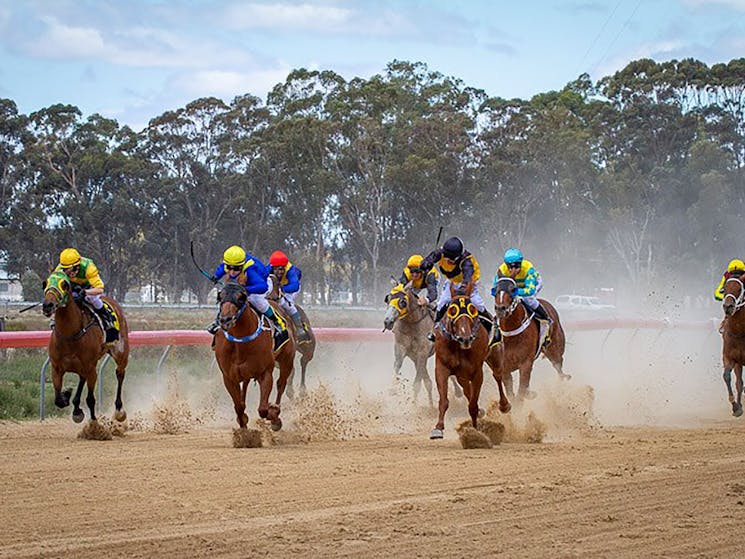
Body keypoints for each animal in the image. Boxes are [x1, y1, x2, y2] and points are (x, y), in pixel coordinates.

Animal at [41, 272, 129, 424]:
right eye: (45, 283)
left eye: (64, 285)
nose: (48, 305)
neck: (70, 335)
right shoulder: (56, 368)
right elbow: (58, 399)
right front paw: (67, 395)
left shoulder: (91, 368)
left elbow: (90, 399)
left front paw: (94, 423)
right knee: (82, 378)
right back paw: (76, 406)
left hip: (121, 352)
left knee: (119, 373)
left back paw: (119, 410)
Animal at [214, 280, 292, 434]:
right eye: (221, 296)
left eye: (241, 297)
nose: (225, 319)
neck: (240, 342)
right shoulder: (228, 377)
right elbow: (238, 407)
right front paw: (243, 429)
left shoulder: (265, 373)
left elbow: (263, 409)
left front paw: (274, 417)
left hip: (287, 359)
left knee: (281, 384)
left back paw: (276, 408)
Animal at [428, 286, 492, 440]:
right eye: (452, 310)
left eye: (472, 309)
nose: (465, 338)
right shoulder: (442, 367)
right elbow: (444, 400)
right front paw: (438, 428)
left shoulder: (477, 372)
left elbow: (473, 404)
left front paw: (475, 429)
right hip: (460, 375)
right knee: (466, 389)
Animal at [488, 276, 568, 412]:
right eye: (495, 289)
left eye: (513, 289)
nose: (500, 309)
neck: (511, 334)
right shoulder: (504, 367)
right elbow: (511, 392)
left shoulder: (525, 363)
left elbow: (520, 392)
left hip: (554, 349)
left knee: (558, 365)